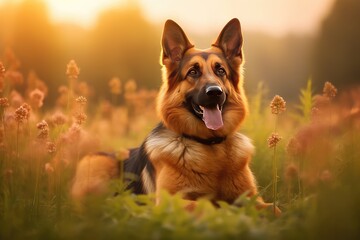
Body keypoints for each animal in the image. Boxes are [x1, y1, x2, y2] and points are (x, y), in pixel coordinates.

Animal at [71, 18, 278, 213]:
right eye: (193, 72)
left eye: (221, 71)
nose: (214, 92)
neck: (209, 147)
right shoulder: (170, 201)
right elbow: (209, 206)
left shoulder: (253, 199)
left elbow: (274, 208)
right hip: (97, 164)